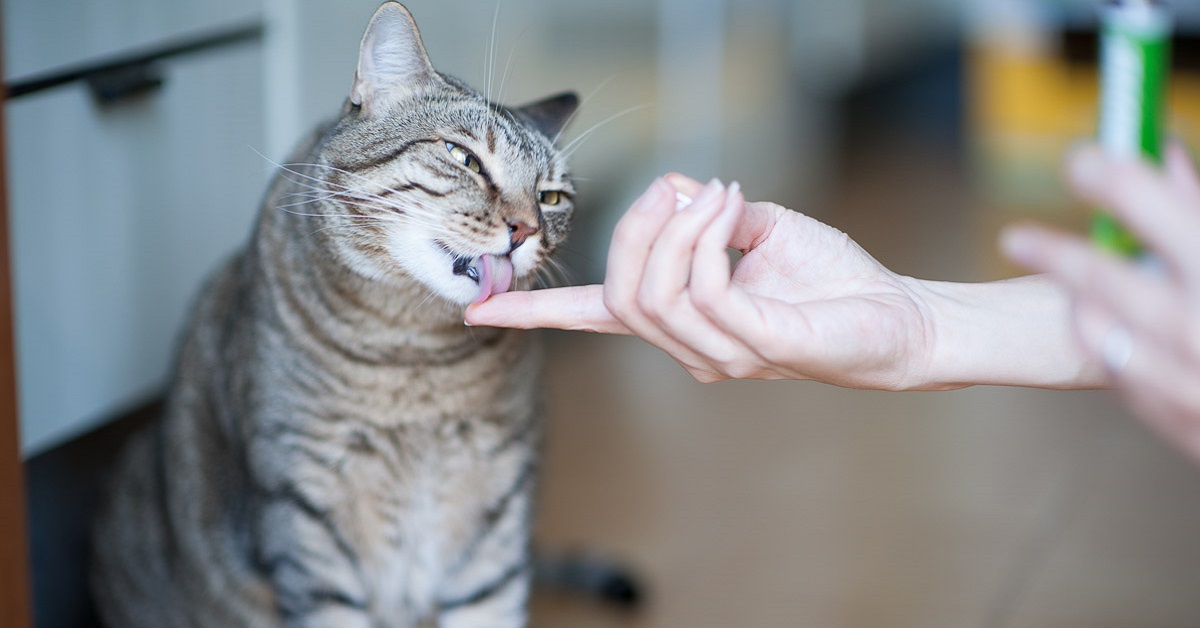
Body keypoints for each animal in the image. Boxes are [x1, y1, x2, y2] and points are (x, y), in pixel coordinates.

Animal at [88, 2, 580, 624]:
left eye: (552, 197)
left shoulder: (498, 513)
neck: (418, 356)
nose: (525, 229)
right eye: (463, 157)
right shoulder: (306, 510)